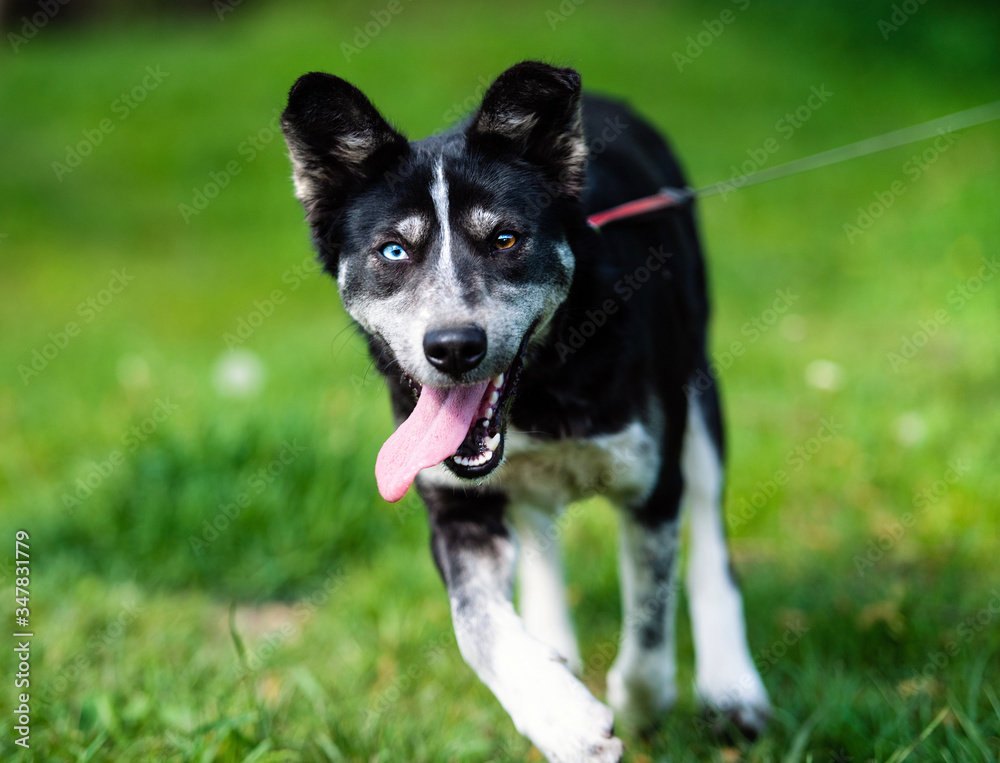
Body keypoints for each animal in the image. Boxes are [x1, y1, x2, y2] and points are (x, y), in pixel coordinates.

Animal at [282, 61, 772, 763]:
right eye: (393, 251)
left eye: (505, 239)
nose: (453, 347)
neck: (539, 393)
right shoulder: (457, 507)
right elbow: (476, 623)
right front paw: (560, 716)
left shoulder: (652, 486)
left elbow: (650, 629)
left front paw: (635, 708)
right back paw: (555, 651)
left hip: (698, 393)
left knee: (708, 530)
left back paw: (732, 687)